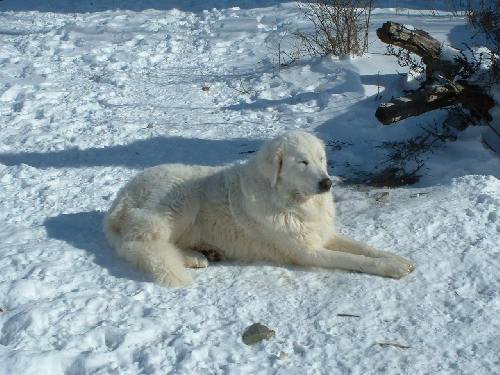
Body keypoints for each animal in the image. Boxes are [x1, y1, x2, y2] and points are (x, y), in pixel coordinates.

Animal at [102, 131, 414, 286]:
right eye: (302, 162)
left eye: (321, 159)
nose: (326, 183)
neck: (289, 201)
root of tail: (119, 199)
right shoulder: (308, 251)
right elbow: (357, 260)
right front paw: (391, 267)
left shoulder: (324, 235)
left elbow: (365, 248)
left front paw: (397, 258)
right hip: (181, 198)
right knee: (142, 244)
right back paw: (191, 257)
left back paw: (201, 253)